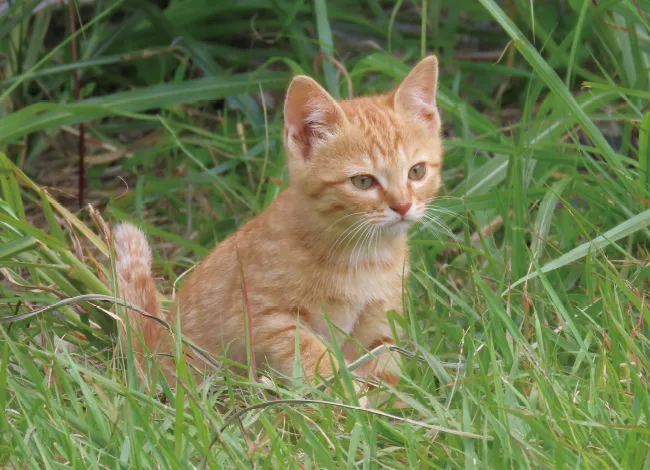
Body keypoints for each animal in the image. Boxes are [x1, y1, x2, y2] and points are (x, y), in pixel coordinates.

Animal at [114, 55, 443, 389]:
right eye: (363, 181)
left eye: (416, 172)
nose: (402, 206)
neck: (364, 256)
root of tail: (151, 356)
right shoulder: (264, 317)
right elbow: (314, 357)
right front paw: (343, 393)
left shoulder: (380, 324)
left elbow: (385, 370)